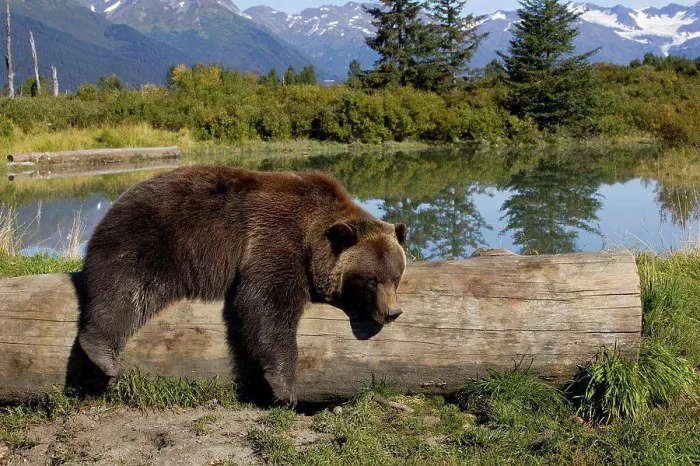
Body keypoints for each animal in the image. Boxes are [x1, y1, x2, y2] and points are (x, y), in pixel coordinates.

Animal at [77, 165, 407, 407]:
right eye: (370, 279)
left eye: (396, 276)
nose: (392, 312)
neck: (313, 238)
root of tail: (116, 202)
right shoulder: (275, 237)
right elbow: (265, 303)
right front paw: (285, 388)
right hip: (151, 238)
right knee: (124, 288)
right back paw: (103, 353)